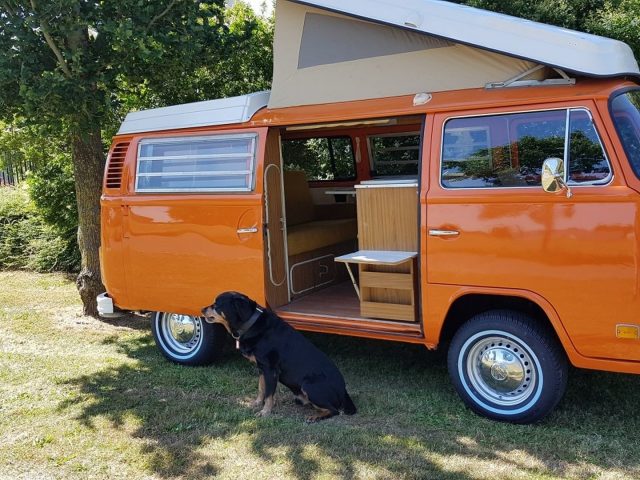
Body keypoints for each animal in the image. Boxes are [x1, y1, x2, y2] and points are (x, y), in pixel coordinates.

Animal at [202, 290, 358, 422]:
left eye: (217, 304)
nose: (202, 309)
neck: (251, 324)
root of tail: (343, 391)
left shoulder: (270, 370)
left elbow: (269, 394)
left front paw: (265, 412)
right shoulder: (261, 369)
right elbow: (261, 389)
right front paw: (256, 404)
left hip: (309, 385)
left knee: (334, 410)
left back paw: (315, 417)